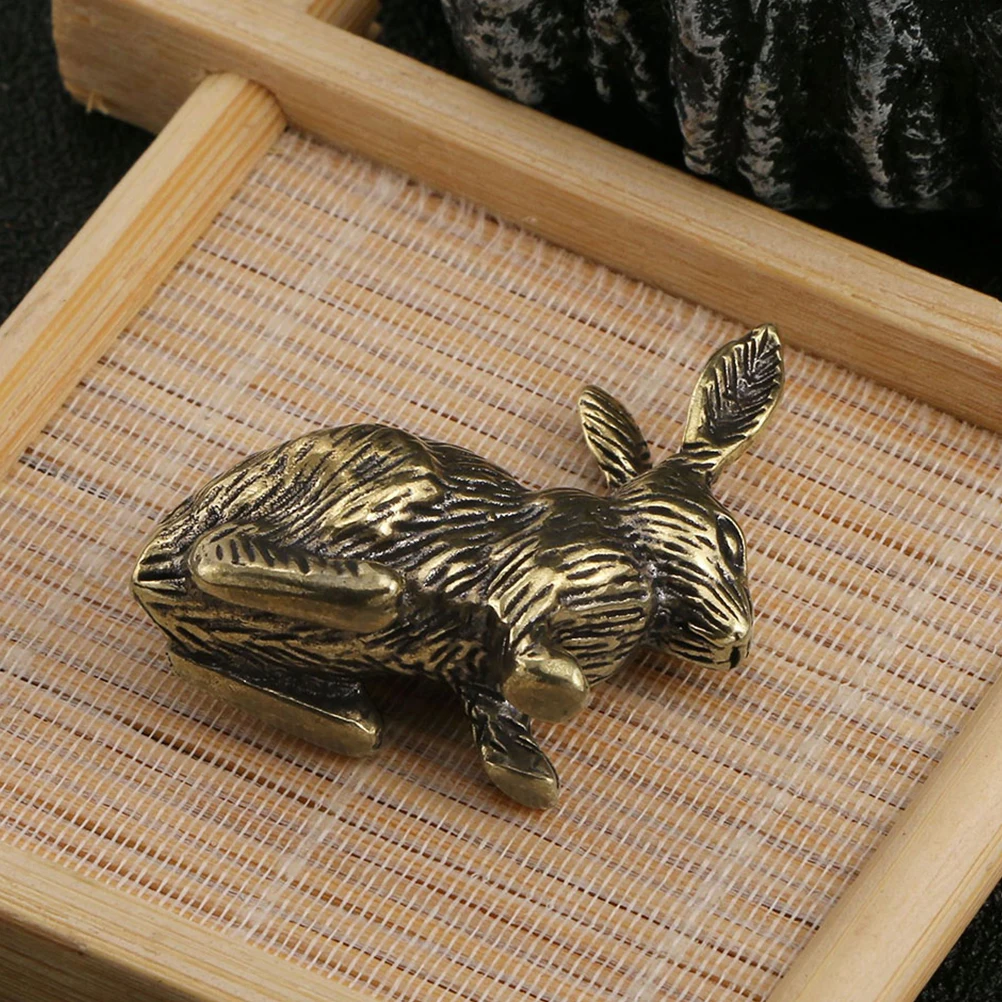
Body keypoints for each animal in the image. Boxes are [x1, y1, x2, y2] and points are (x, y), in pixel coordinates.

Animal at [133, 325, 783, 808]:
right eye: (730, 539)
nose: (739, 644)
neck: (639, 551)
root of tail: (150, 574)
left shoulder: (482, 683)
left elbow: (503, 727)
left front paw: (528, 771)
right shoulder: (543, 580)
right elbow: (548, 673)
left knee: (244, 677)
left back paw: (350, 697)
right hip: (392, 476)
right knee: (221, 551)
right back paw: (382, 588)